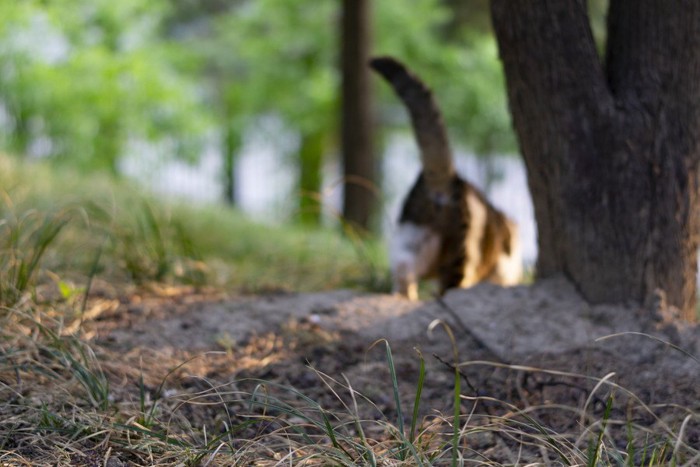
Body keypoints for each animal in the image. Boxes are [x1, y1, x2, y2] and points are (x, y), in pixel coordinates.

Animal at [370, 56, 524, 302]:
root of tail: (449, 179)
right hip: (460, 252)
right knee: (450, 284)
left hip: (414, 235)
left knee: (403, 264)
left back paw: (406, 296)